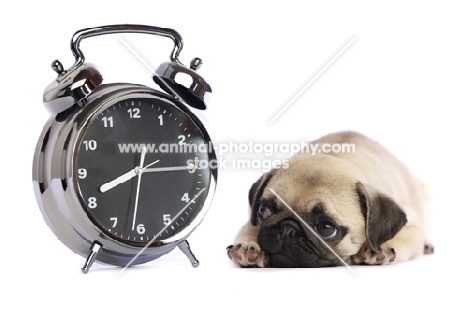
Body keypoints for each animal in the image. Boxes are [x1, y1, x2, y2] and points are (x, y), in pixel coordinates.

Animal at [227, 132, 436, 268]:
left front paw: (378, 249)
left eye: (326, 228)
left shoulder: (412, 228)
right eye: (264, 211)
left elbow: (403, 237)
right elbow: (249, 231)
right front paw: (249, 248)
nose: (287, 230)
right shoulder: (251, 221)